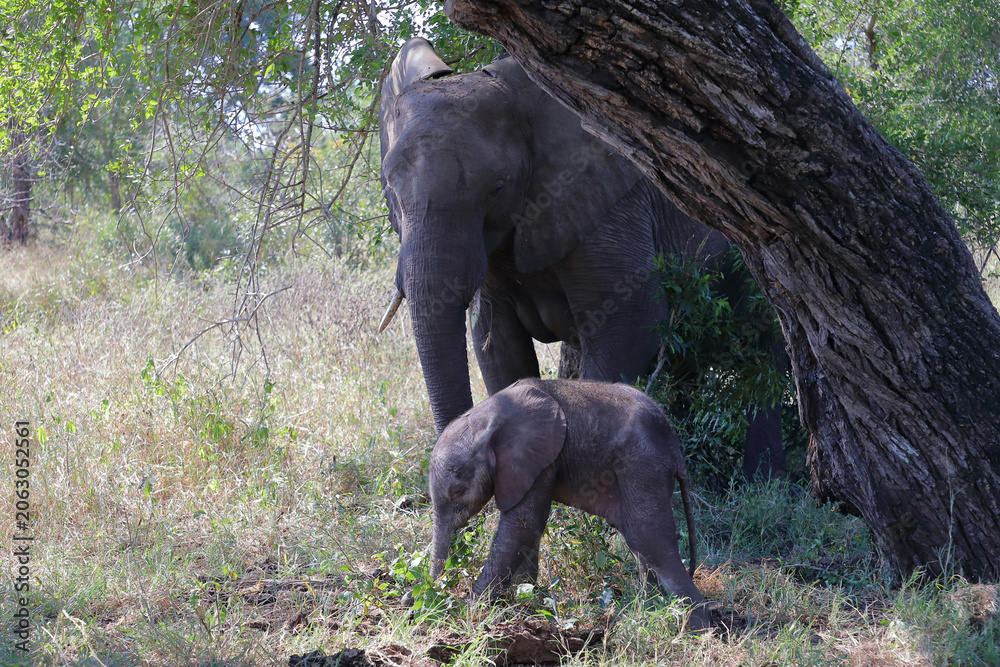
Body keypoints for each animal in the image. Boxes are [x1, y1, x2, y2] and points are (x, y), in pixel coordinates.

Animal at [378, 37, 786, 479]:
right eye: (391, 190)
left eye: (497, 188)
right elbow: (498, 346)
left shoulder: (611, 202)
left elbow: (630, 326)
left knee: (767, 355)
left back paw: (764, 481)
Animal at [428, 378, 712, 631]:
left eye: (458, 491)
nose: (433, 593)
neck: (488, 415)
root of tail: (673, 443)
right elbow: (528, 528)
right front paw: (525, 599)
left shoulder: (538, 456)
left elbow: (522, 523)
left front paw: (468, 606)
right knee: (641, 545)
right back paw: (652, 612)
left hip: (643, 463)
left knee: (650, 540)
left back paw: (696, 630)